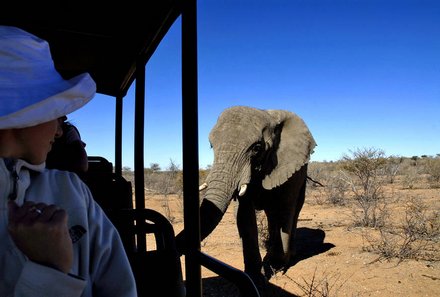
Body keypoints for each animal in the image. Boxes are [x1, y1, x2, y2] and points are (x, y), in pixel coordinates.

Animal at [175, 104, 316, 286]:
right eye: (211, 145)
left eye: (257, 148)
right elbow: (244, 214)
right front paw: (256, 278)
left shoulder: (290, 168)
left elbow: (285, 209)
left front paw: (277, 269)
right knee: (272, 215)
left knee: (293, 211)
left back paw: (288, 255)